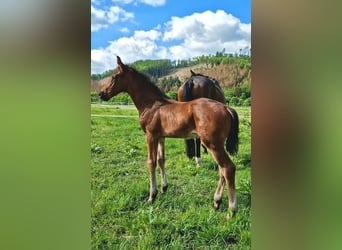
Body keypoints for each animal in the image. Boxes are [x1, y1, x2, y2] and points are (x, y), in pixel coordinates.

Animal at [97, 56, 239, 219]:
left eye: (114, 77)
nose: (101, 94)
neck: (151, 104)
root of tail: (226, 108)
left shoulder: (150, 136)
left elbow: (151, 162)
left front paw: (152, 196)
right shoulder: (161, 137)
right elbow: (161, 160)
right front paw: (164, 188)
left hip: (212, 143)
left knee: (228, 168)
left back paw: (231, 210)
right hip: (217, 144)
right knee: (222, 169)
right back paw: (216, 202)